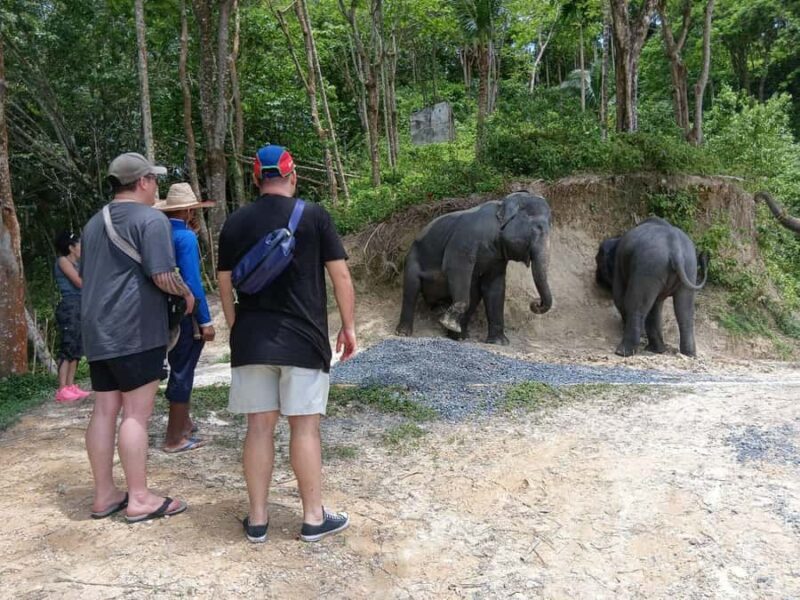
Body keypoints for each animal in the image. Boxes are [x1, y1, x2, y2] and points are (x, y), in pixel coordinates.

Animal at [395, 191, 553, 345]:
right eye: (538, 228)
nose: (535, 303)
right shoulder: (464, 240)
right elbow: (455, 269)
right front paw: (448, 323)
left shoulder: (497, 258)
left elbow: (494, 286)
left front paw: (499, 343)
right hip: (413, 258)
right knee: (411, 289)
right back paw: (404, 333)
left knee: (474, 293)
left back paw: (458, 336)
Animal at [596, 217, 709, 357]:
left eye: (597, 260)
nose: (597, 281)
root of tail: (675, 249)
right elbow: (655, 306)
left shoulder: (619, 265)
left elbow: (619, 297)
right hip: (689, 267)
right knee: (684, 309)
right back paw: (686, 353)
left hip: (650, 266)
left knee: (635, 304)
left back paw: (622, 352)